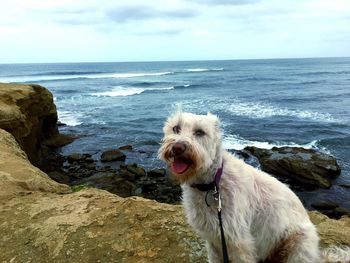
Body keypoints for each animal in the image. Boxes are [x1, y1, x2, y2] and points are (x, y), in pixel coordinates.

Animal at [159, 112, 350, 263]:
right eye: (175, 128)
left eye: (200, 132)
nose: (177, 147)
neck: (212, 184)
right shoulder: (214, 240)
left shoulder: (238, 241)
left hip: (297, 243)